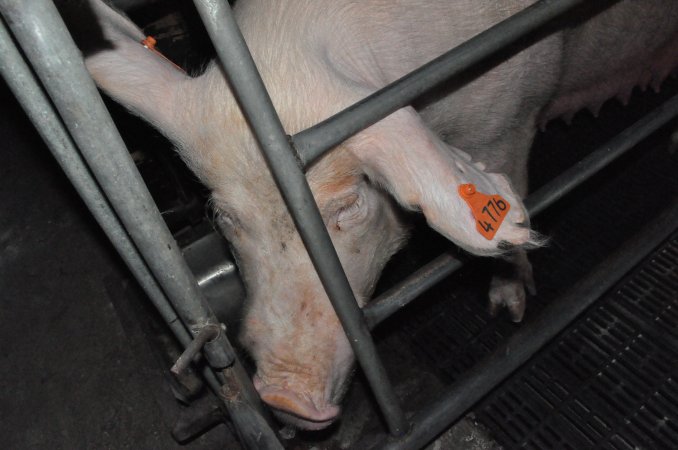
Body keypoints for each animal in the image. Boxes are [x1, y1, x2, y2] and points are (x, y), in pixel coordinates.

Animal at [59, 0, 678, 428]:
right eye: (222, 215)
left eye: (350, 204)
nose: (281, 395)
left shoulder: (512, 119)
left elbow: (510, 196)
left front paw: (509, 308)